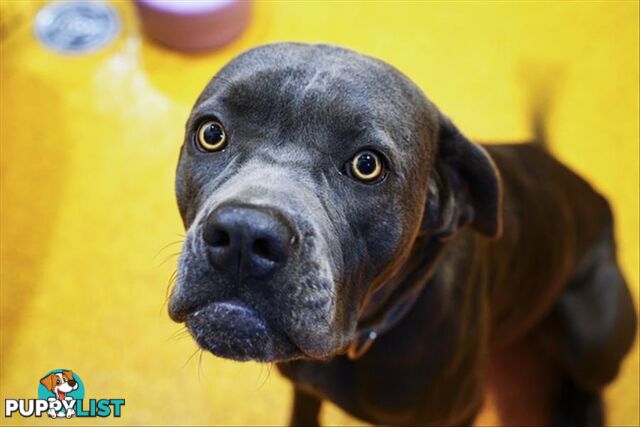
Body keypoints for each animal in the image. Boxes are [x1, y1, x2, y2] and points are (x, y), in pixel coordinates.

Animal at [168, 41, 636, 426]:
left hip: (592, 338)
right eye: (211, 133)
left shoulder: (460, 414)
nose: (244, 235)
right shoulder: (304, 386)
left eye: (367, 165)